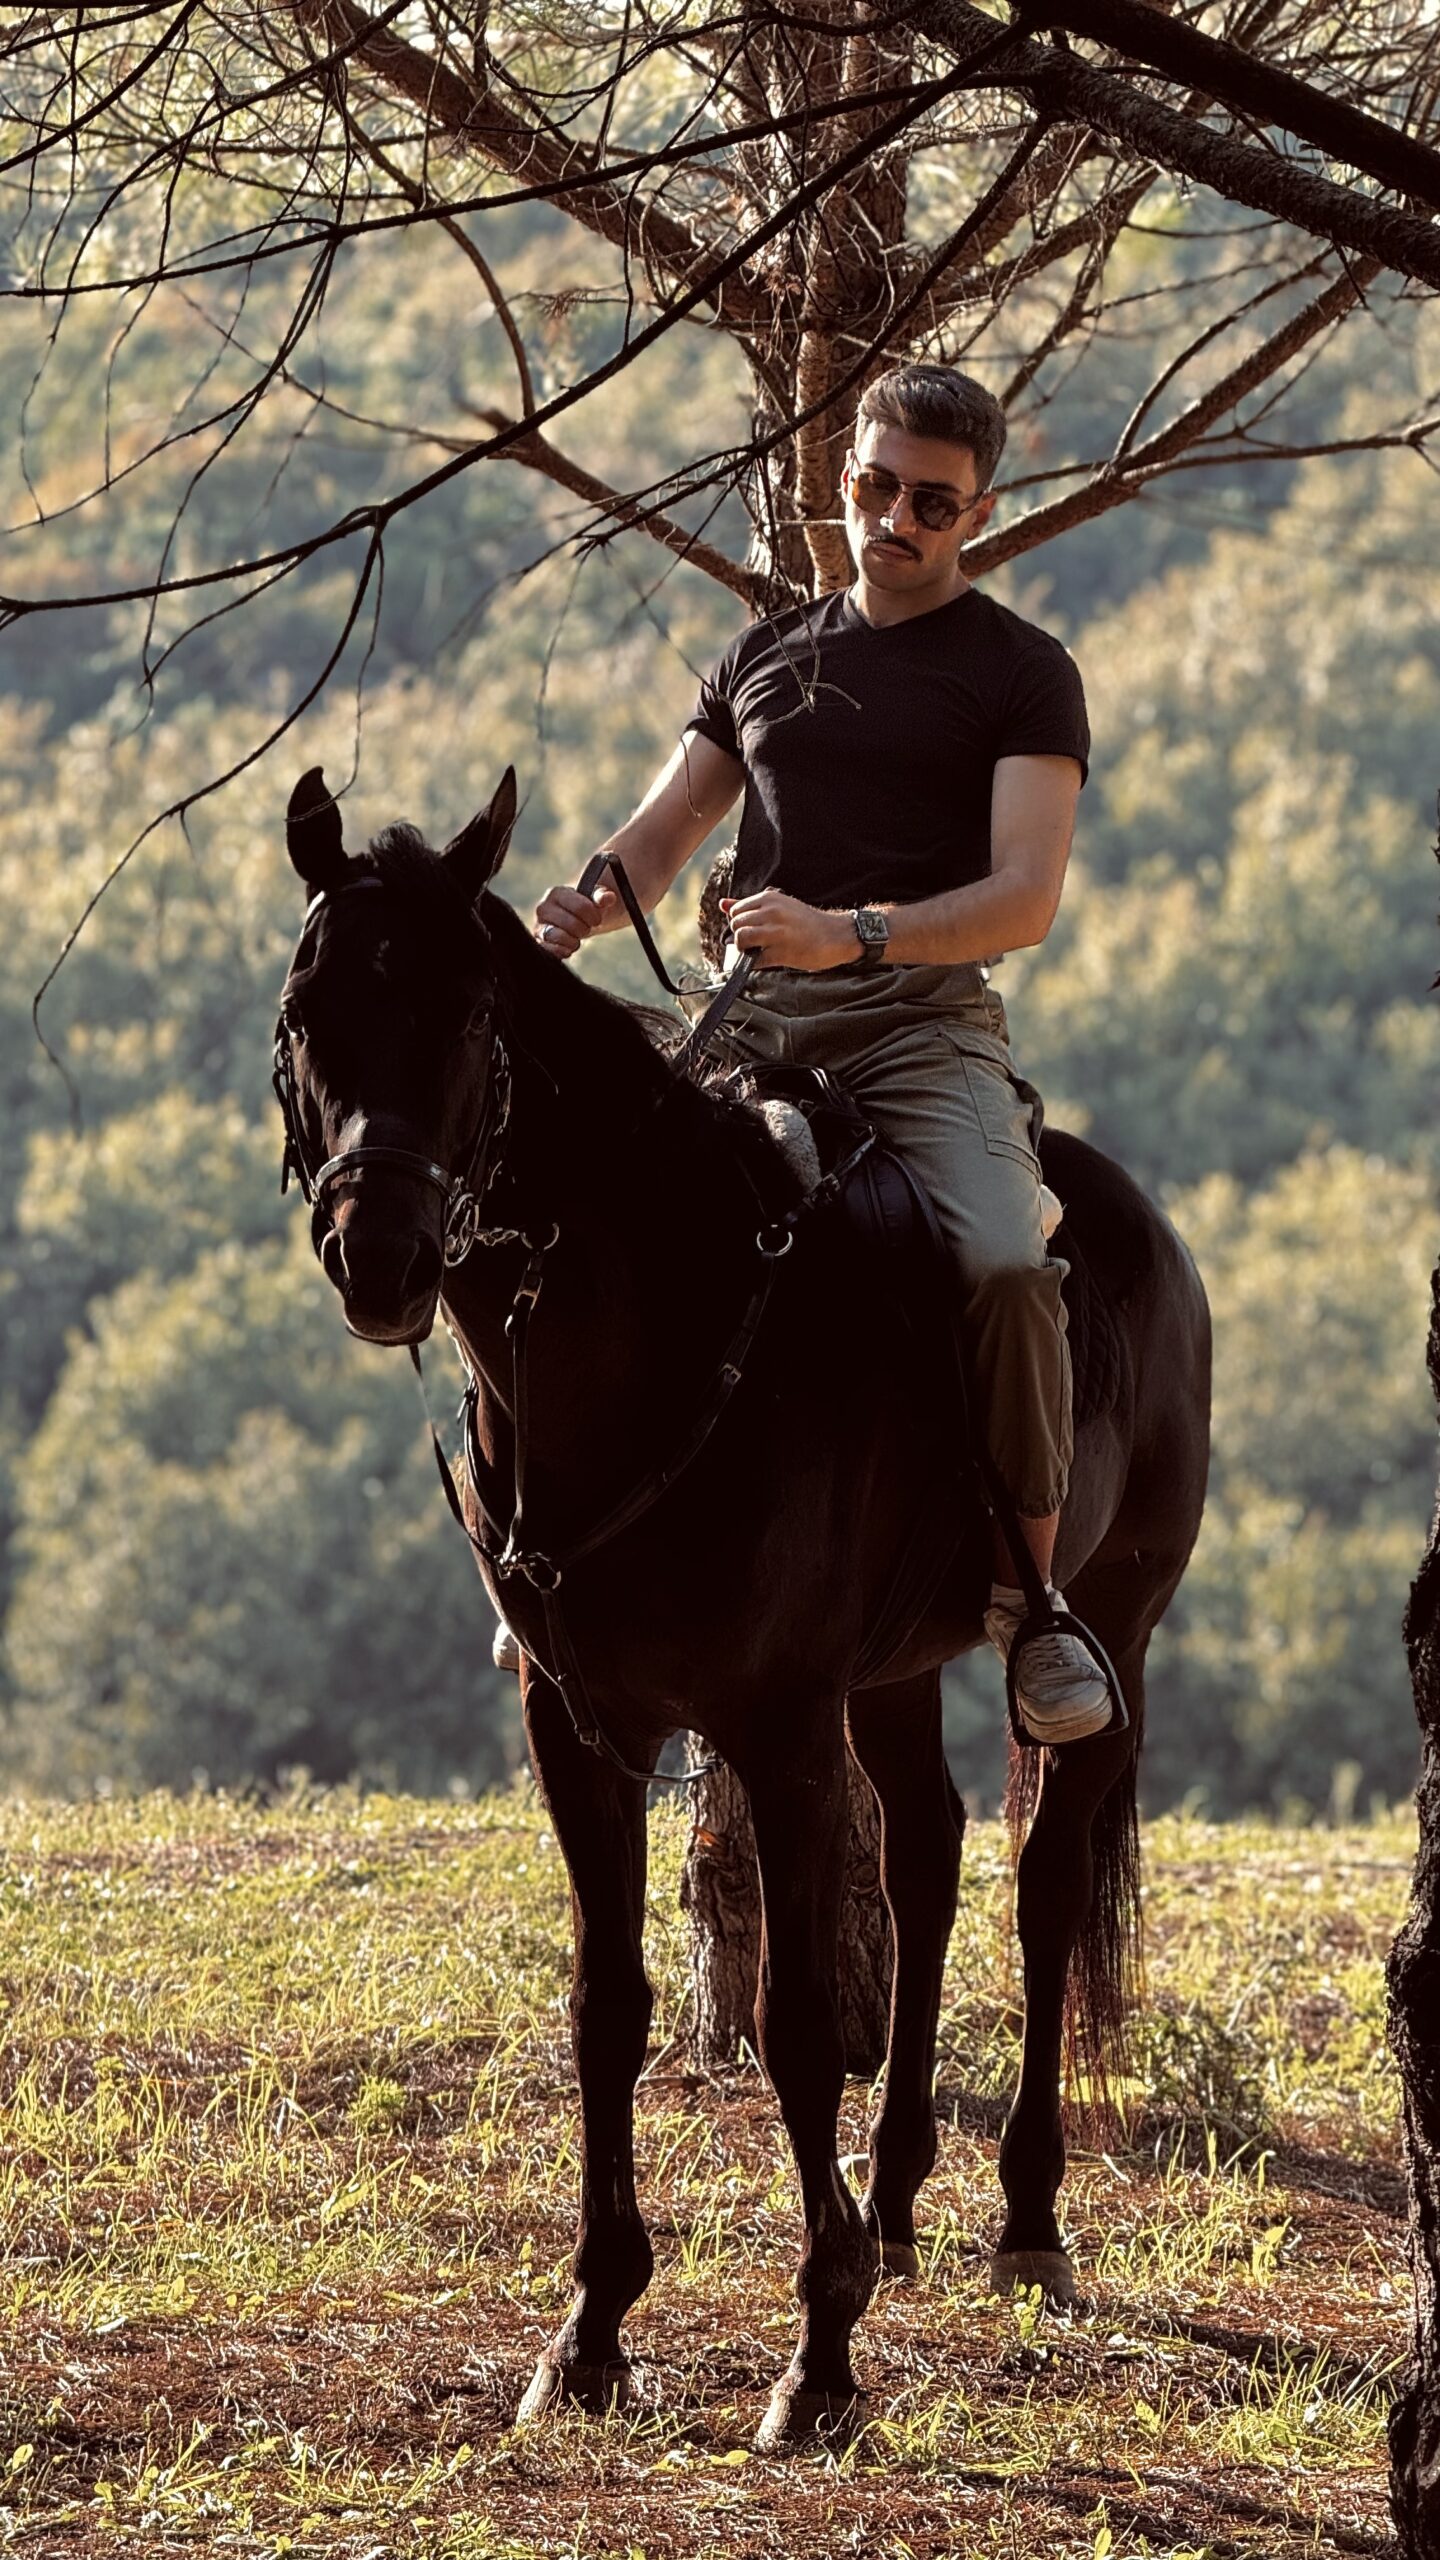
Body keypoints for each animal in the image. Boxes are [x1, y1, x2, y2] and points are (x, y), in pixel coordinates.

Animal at [274, 762, 1210, 2452]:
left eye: (465, 1015)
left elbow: (790, 2015)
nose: (379, 1252)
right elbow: (610, 2002)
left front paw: (819, 2358)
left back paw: (1026, 2221)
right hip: (890, 1676)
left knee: (1042, 1886)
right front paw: (589, 2332)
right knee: (929, 1855)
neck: (657, 1327)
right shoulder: (583, 1726)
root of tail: (1143, 1229)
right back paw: (896, 2204)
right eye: (314, 1008)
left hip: (1118, 1621)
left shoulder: (772, 1723)